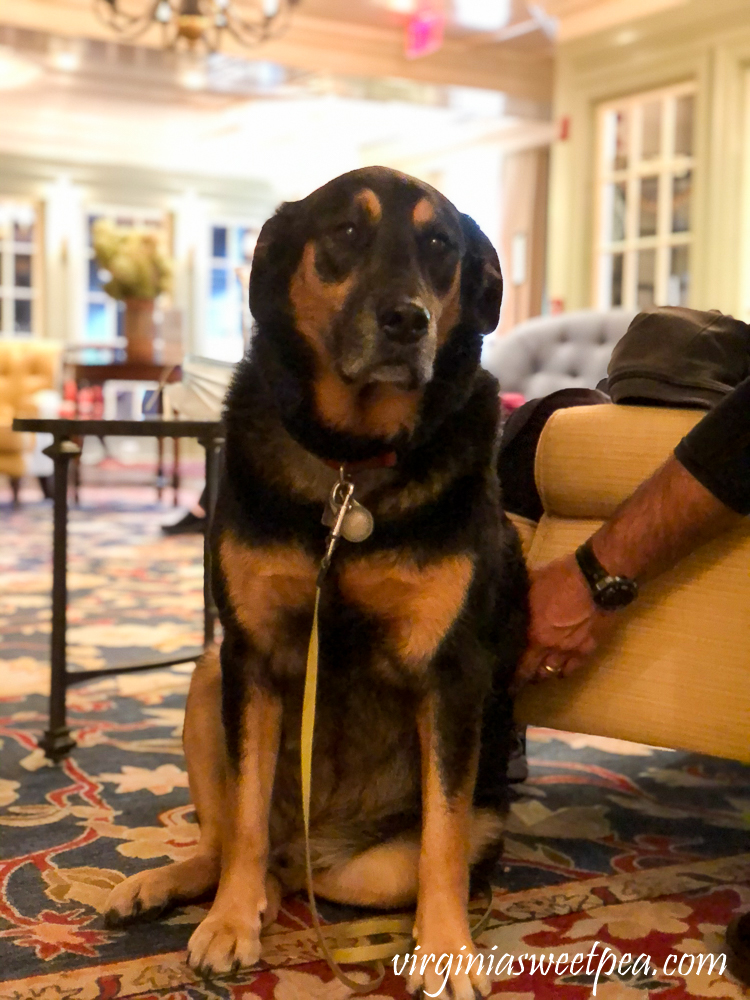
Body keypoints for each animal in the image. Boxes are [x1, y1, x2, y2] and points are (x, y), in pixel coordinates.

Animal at [104, 168, 528, 996]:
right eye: (346, 232)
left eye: (440, 246)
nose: (408, 321)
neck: (349, 464)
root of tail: (315, 844)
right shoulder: (253, 658)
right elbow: (241, 815)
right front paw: (229, 922)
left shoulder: (452, 676)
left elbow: (442, 840)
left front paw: (447, 948)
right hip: (207, 681)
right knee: (235, 841)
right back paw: (183, 888)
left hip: (412, 847)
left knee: (333, 872)